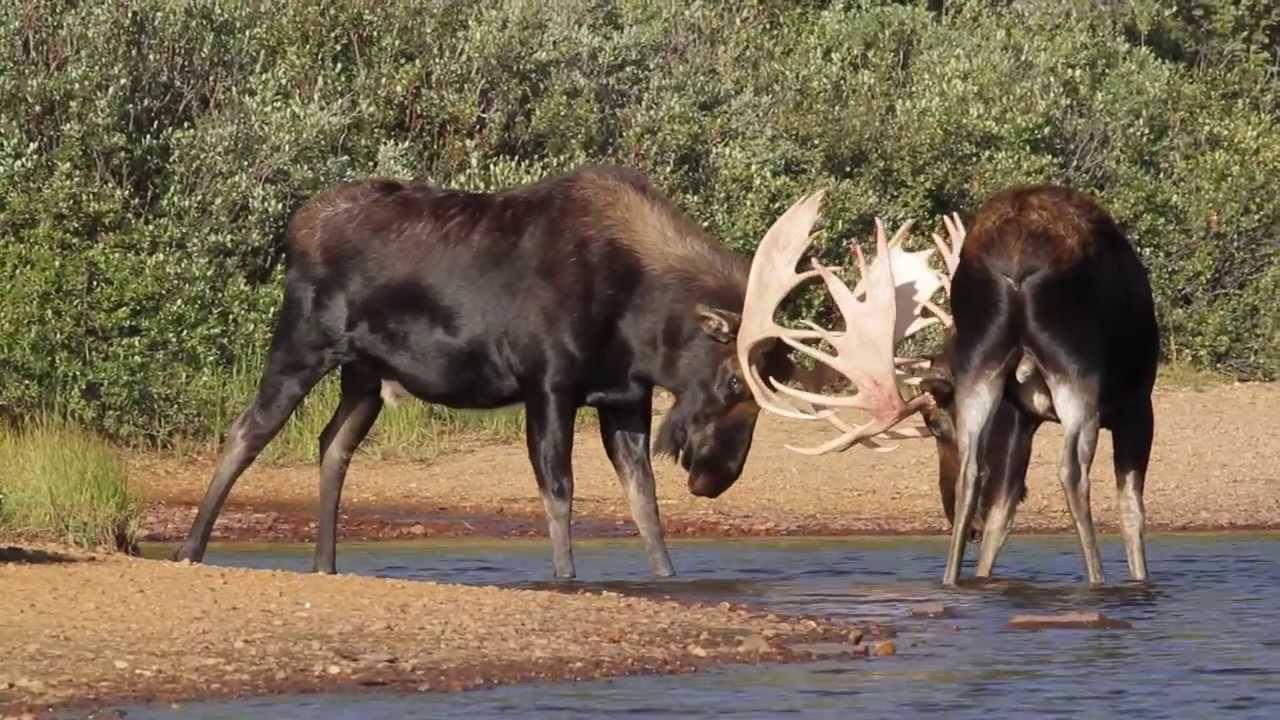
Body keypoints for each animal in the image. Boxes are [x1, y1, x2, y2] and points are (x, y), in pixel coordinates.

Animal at [172, 165, 821, 579]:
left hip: (365, 374)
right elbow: (558, 491)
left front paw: (666, 578)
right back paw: (191, 550)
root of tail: (294, 227)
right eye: (735, 380)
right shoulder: (549, 385)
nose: (717, 477)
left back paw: (325, 564)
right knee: (247, 431)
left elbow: (644, 503)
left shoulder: (623, 398)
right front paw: (565, 578)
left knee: (333, 444)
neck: (643, 322)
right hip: (303, 345)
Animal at [736, 185, 1159, 586]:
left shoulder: (1018, 416)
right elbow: (1131, 509)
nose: (962, 524)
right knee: (1072, 472)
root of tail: (1016, 261)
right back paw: (1095, 579)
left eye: (934, 427)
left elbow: (1001, 510)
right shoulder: (1136, 405)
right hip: (1075, 367)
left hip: (983, 368)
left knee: (973, 476)